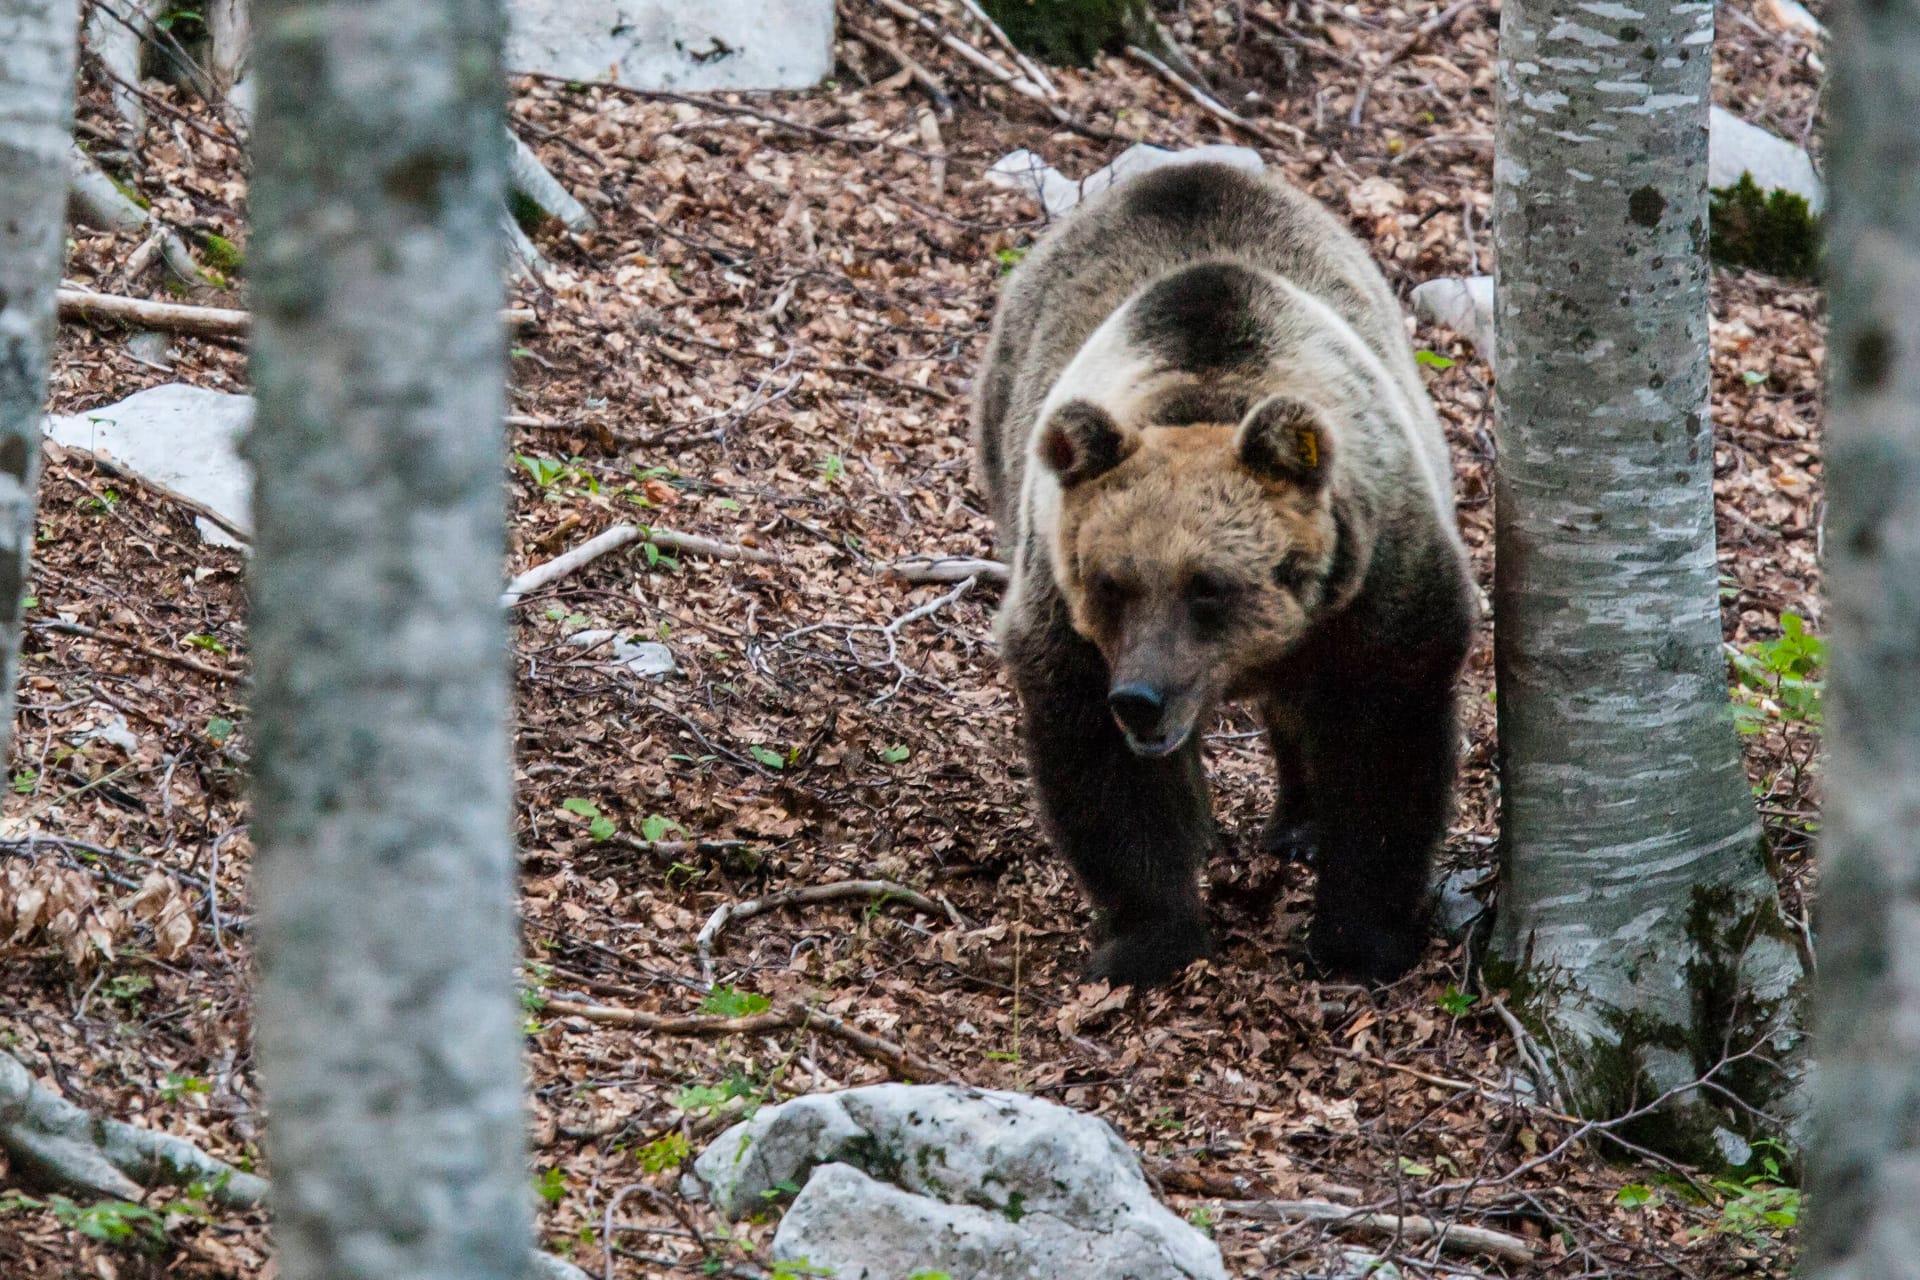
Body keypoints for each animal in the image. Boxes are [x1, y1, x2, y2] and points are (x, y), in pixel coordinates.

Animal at [975, 163, 1466, 990]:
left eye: (1207, 584)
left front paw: (1359, 940)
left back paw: (1300, 824)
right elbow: (1106, 772)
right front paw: (1149, 939)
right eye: (1110, 583)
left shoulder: (1379, 586)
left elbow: (1383, 748)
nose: (1140, 698)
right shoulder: (1066, 620)